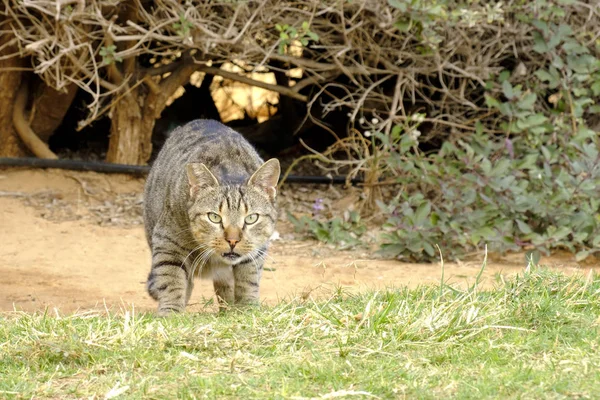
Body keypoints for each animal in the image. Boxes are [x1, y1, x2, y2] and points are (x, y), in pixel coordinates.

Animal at [143, 119, 282, 316]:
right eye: (214, 217)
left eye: (251, 218)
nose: (233, 240)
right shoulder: (167, 242)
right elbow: (171, 279)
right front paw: (171, 313)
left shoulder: (256, 249)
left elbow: (248, 279)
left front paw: (247, 309)